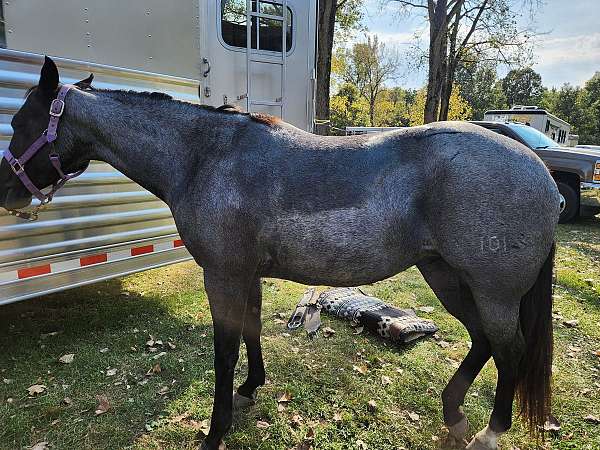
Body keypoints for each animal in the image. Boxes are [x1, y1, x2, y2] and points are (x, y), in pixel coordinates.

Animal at [0, 59, 556, 450]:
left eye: (22, 122)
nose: (8, 191)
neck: (204, 158)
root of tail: (543, 175)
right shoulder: (247, 275)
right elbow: (251, 329)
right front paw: (251, 388)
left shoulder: (222, 275)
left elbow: (225, 347)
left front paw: (216, 429)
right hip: (447, 276)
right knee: (484, 340)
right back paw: (454, 412)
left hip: (491, 290)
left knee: (509, 348)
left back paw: (490, 431)